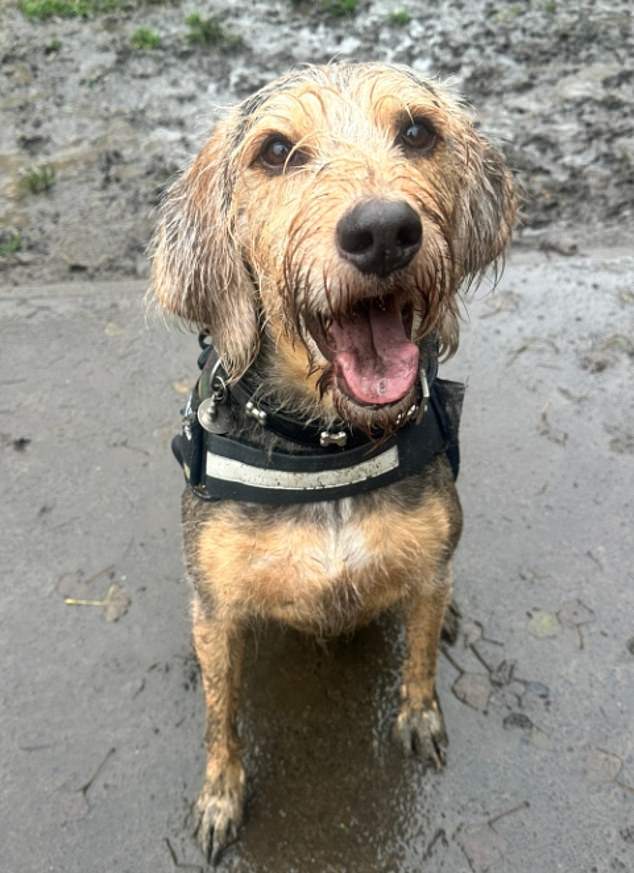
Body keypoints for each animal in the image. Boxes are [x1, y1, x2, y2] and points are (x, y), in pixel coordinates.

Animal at [152, 63, 512, 864]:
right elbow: (222, 718)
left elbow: (418, 658)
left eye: (418, 131)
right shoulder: (217, 608)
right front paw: (220, 796)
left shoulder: (427, 562)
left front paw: (419, 713)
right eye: (276, 150)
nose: (382, 230)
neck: (330, 444)